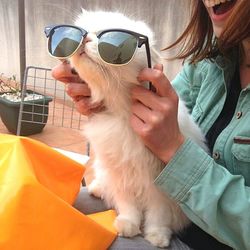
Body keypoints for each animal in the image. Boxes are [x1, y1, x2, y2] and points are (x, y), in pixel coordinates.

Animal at [70, 9, 207, 248]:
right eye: (84, 31)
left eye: (111, 39)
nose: (85, 39)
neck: (123, 115)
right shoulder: (121, 174)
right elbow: (128, 206)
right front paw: (128, 226)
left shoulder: (160, 186)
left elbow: (158, 216)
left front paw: (157, 237)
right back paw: (97, 189)